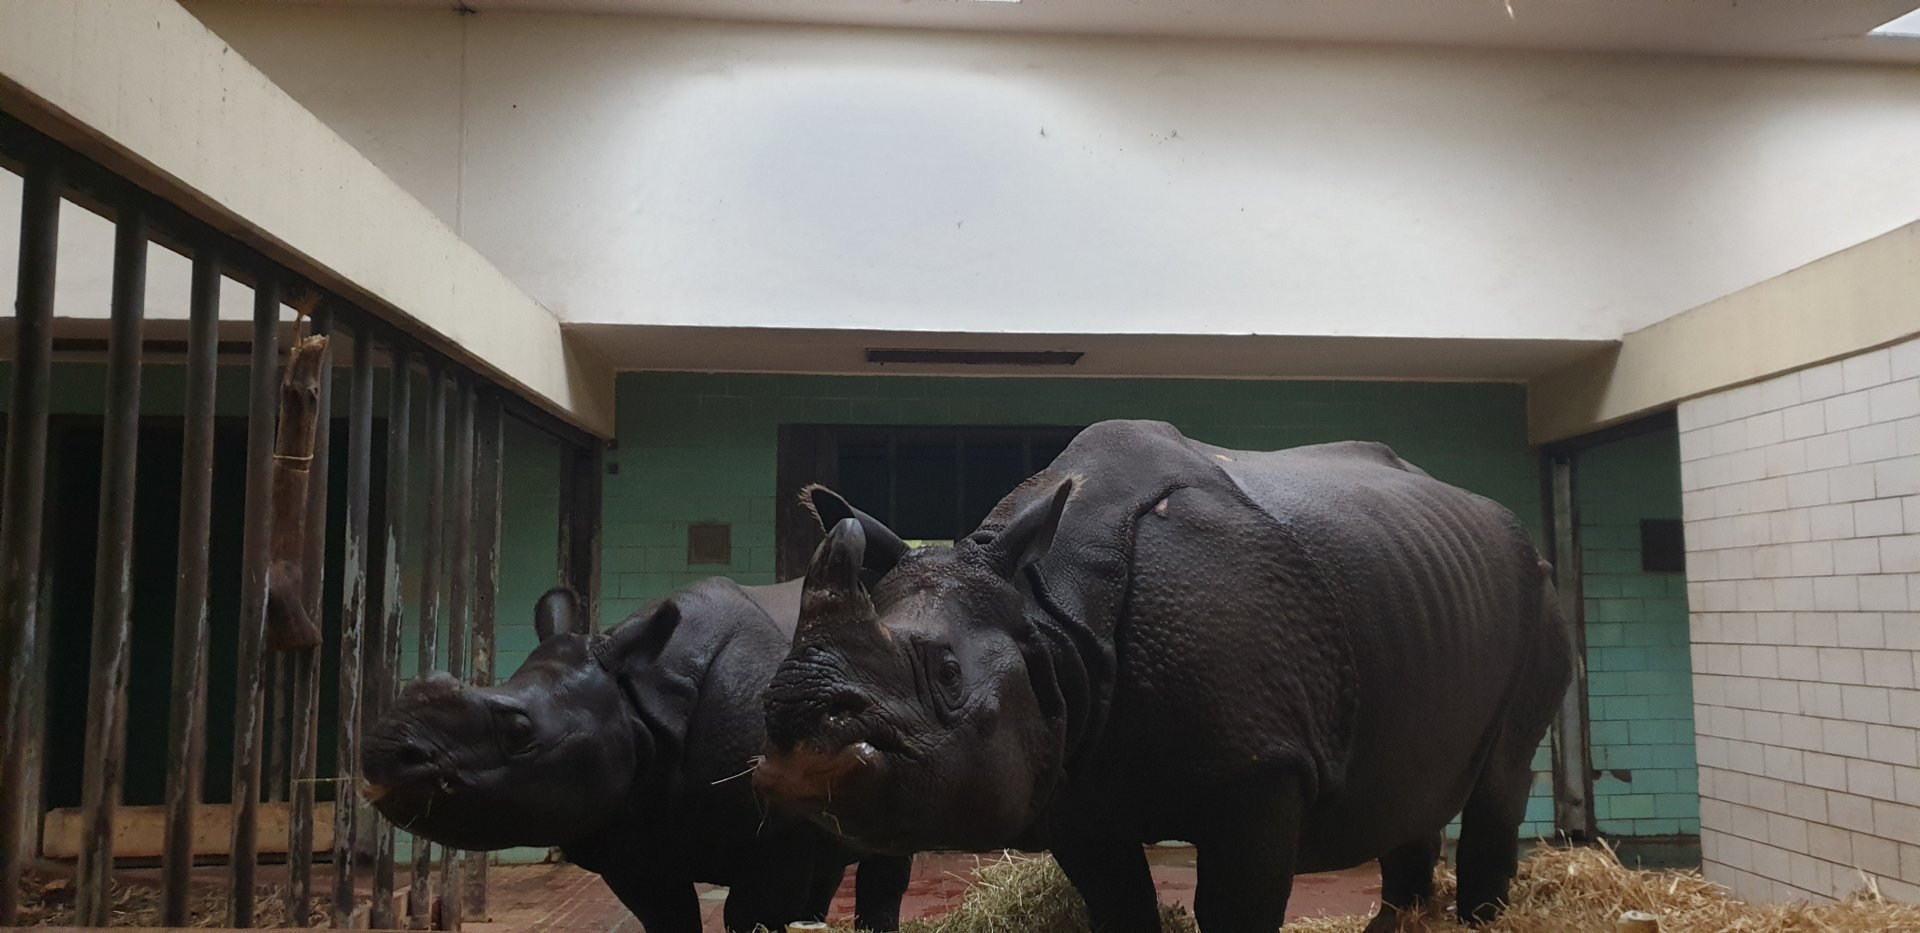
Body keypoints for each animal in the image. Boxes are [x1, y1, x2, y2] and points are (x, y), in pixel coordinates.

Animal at [361, 490, 913, 933]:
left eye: (518, 730)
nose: (384, 755)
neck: (641, 697)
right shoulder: (631, 843)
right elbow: (669, 919)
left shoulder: (775, 837)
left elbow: (751, 915)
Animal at [755, 420, 1573, 933]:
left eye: (949, 673)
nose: (800, 761)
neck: (1047, 610)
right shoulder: (1072, 774)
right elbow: (1121, 910)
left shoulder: (1262, 764)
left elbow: (1236, 911)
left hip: (1538, 598)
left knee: (1501, 774)